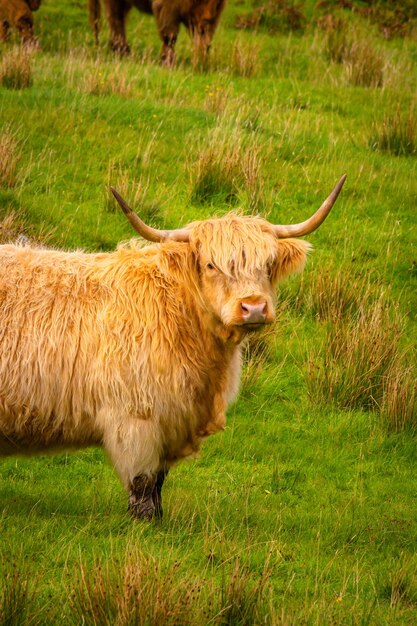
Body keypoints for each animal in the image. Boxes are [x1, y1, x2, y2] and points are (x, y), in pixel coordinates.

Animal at [0, 176, 344, 516]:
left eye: (269, 264)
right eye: (211, 265)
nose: (254, 308)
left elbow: (158, 482)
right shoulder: (136, 418)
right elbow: (142, 484)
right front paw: (144, 521)